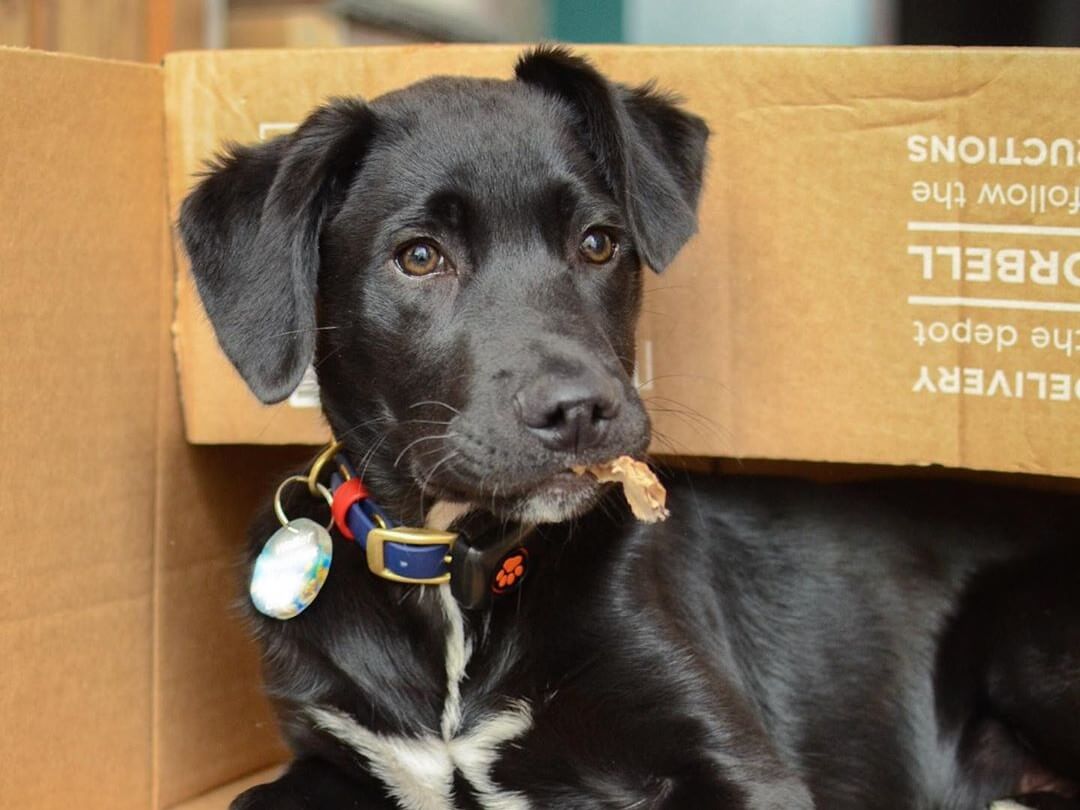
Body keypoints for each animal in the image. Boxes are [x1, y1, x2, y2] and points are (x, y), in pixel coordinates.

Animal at [179, 47, 1080, 807]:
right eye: (420, 257)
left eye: (599, 241)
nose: (580, 410)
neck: (456, 583)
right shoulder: (328, 755)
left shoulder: (738, 764)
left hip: (1027, 633)